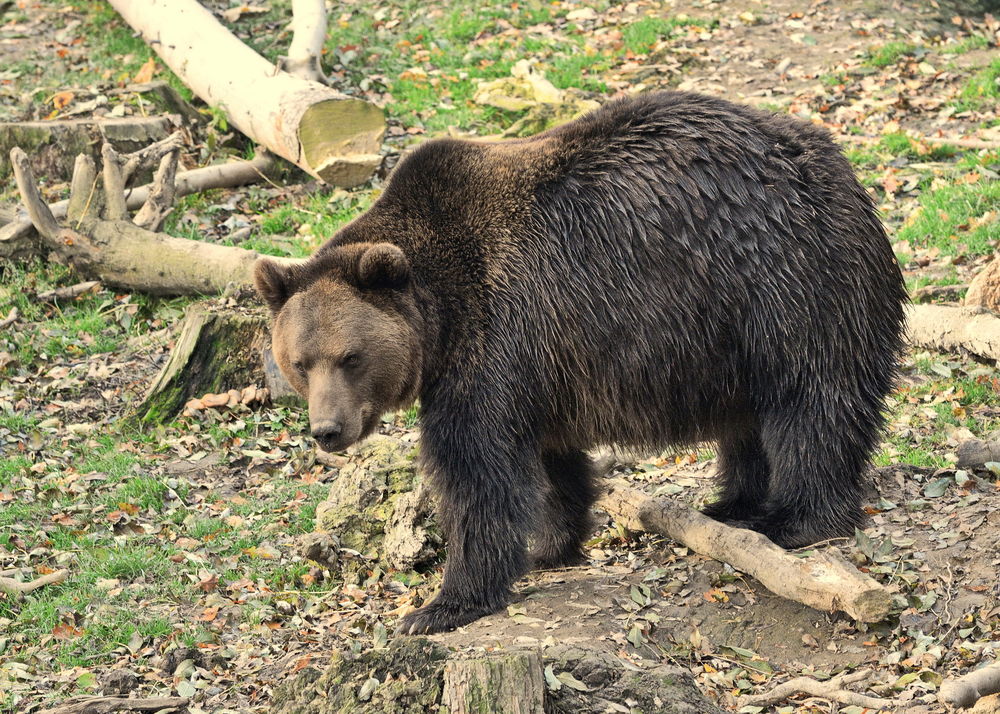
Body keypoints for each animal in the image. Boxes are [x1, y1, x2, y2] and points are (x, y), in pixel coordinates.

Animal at [256, 90, 908, 636]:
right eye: (299, 362)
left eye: (350, 356)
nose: (328, 430)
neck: (439, 317)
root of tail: (841, 167)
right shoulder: (540, 364)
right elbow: (550, 461)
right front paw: (551, 544)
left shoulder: (493, 339)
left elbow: (476, 470)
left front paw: (441, 604)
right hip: (735, 332)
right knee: (748, 419)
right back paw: (733, 503)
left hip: (784, 281)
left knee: (811, 400)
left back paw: (796, 518)